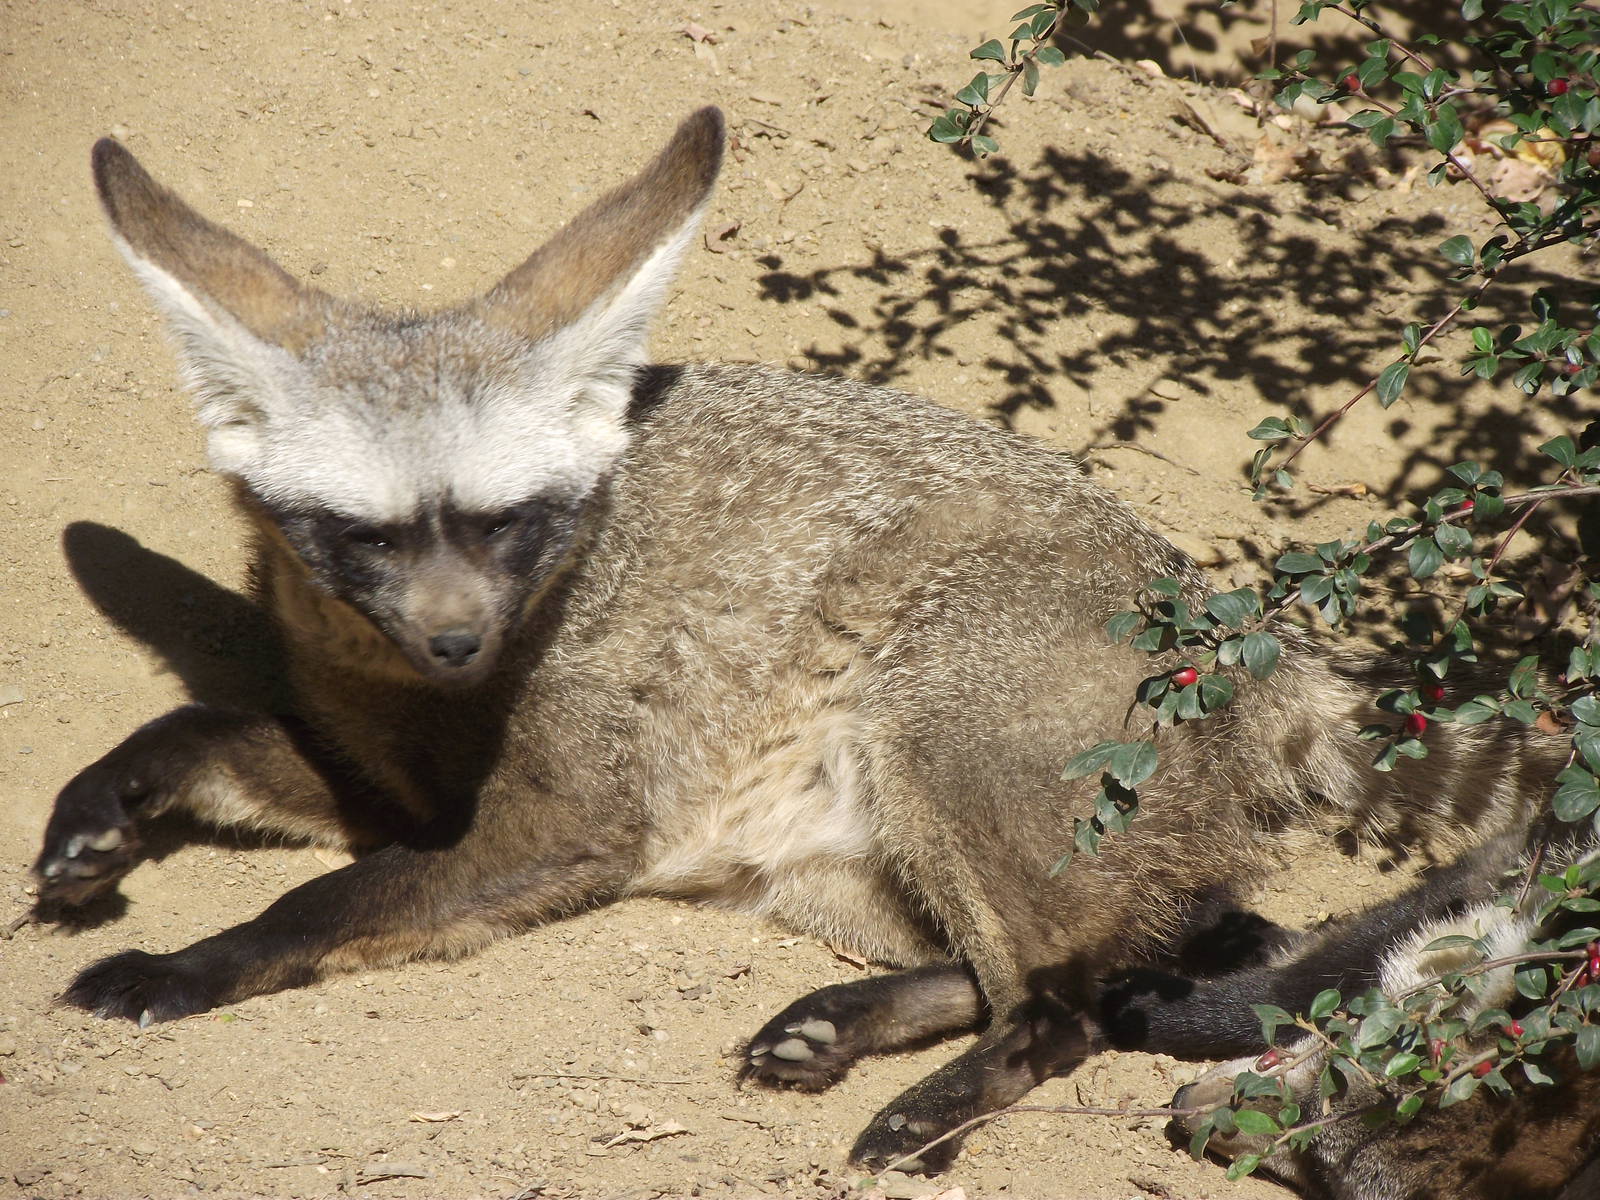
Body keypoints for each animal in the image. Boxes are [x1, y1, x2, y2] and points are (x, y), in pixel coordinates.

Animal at [33, 105, 1568, 1172]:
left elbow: (319, 906)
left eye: (508, 524)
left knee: (1073, 1002)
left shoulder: (562, 825)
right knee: (1141, 949)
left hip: (926, 745)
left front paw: (181, 967)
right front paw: (101, 819)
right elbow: (203, 726)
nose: (460, 641)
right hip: (835, 865)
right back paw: (845, 1026)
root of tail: (1249, 635)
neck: (429, 707)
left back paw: (924, 1110)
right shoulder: (388, 777)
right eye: (370, 539)